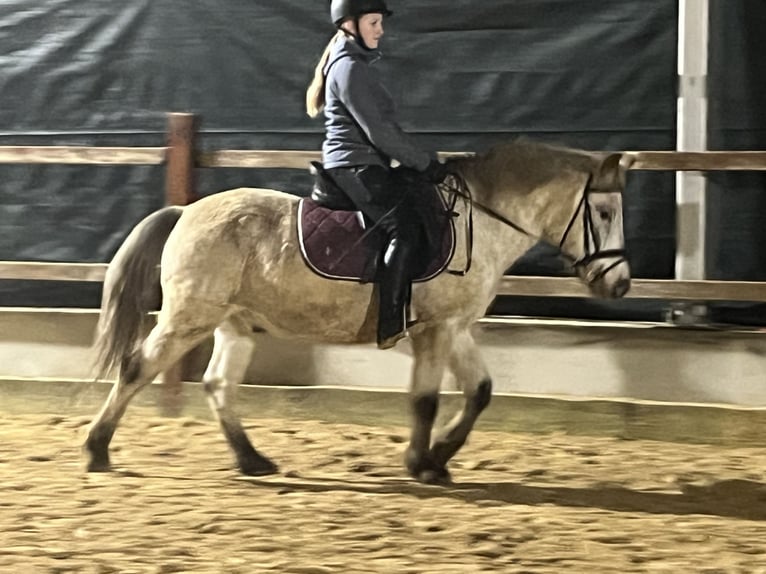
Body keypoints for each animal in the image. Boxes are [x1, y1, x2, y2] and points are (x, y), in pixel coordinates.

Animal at [85, 139, 633, 484]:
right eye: (604, 213)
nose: (621, 283)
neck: (479, 220)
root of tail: (187, 211)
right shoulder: (436, 330)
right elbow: (425, 400)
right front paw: (421, 462)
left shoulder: (454, 328)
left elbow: (479, 392)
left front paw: (440, 457)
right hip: (189, 318)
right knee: (136, 367)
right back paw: (97, 450)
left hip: (233, 323)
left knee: (219, 383)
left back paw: (252, 460)